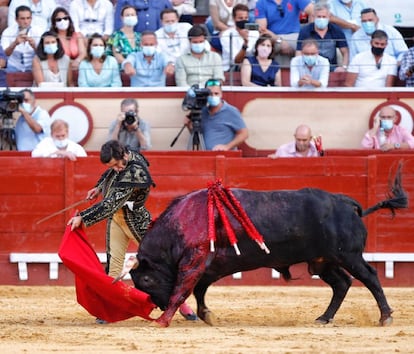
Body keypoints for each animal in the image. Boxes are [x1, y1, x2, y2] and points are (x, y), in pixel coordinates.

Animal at [130, 167, 408, 328]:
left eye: (147, 279)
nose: (159, 306)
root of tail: (347, 203)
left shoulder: (194, 262)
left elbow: (182, 291)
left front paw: (162, 321)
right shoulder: (207, 268)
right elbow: (199, 291)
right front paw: (206, 315)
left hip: (349, 255)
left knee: (369, 276)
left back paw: (385, 316)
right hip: (322, 261)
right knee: (342, 283)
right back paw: (324, 318)